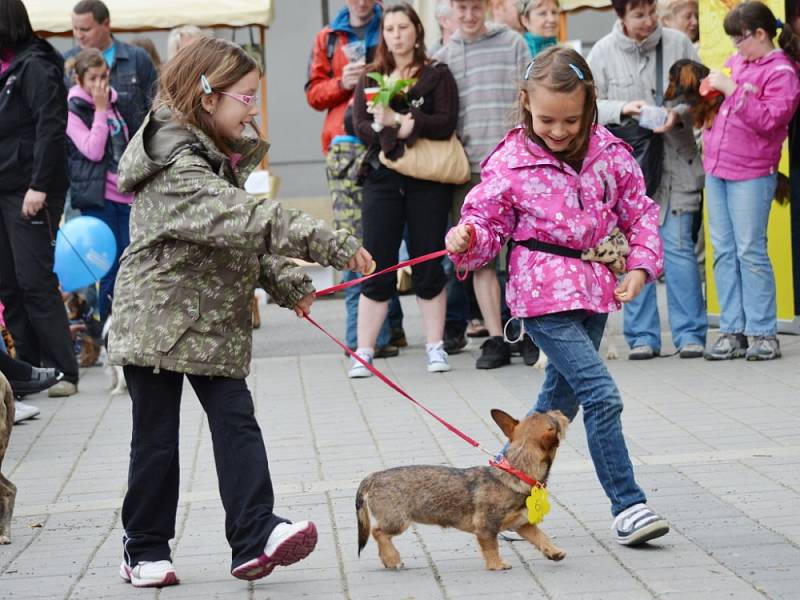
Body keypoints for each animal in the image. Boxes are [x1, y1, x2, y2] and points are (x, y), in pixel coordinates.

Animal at [356, 410, 568, 568]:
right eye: (555, 420)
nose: (560, 411)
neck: (516, 472)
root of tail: (372, 477)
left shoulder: (522, 523)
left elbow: (540, 536)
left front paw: (554, 551)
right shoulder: (486, 527)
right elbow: (492, 546)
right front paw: (497, 564)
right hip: (397, 521)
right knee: (378, 532)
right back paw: (392, 558)